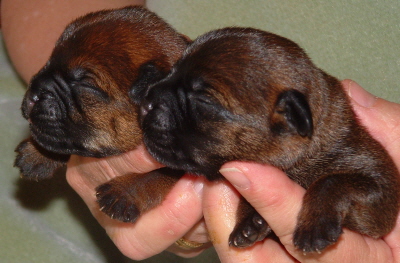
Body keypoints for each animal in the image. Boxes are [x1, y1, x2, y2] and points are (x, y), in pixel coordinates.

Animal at [14, 5, 190, 221]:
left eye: (85, 84)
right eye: (49, 60)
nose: (33, 94)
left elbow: (161, 173)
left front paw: (124, 191)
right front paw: (37, 153)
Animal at [132, 27, 400, 255]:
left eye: (204, 99)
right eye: (171, 71)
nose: (145, 103)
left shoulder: (382, 189)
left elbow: (332, 181)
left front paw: (314, 226)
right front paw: (250, 222)